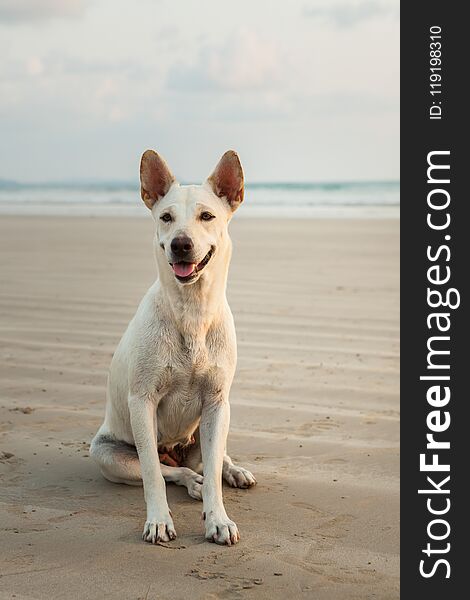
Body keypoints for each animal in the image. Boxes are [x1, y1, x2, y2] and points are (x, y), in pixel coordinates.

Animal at [89, 149, 255, 544]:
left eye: (207, 216)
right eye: (166, 217)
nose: (181, 244)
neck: (191, 312)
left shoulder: (217, 403)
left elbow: (214, 475)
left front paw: (218, 519)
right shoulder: (142, 402)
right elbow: (153, 474)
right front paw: (159, 520)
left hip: (213, 426)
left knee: (212, 461)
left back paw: (232, 470)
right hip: (108, 454)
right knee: (171, 472)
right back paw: (190, 481)